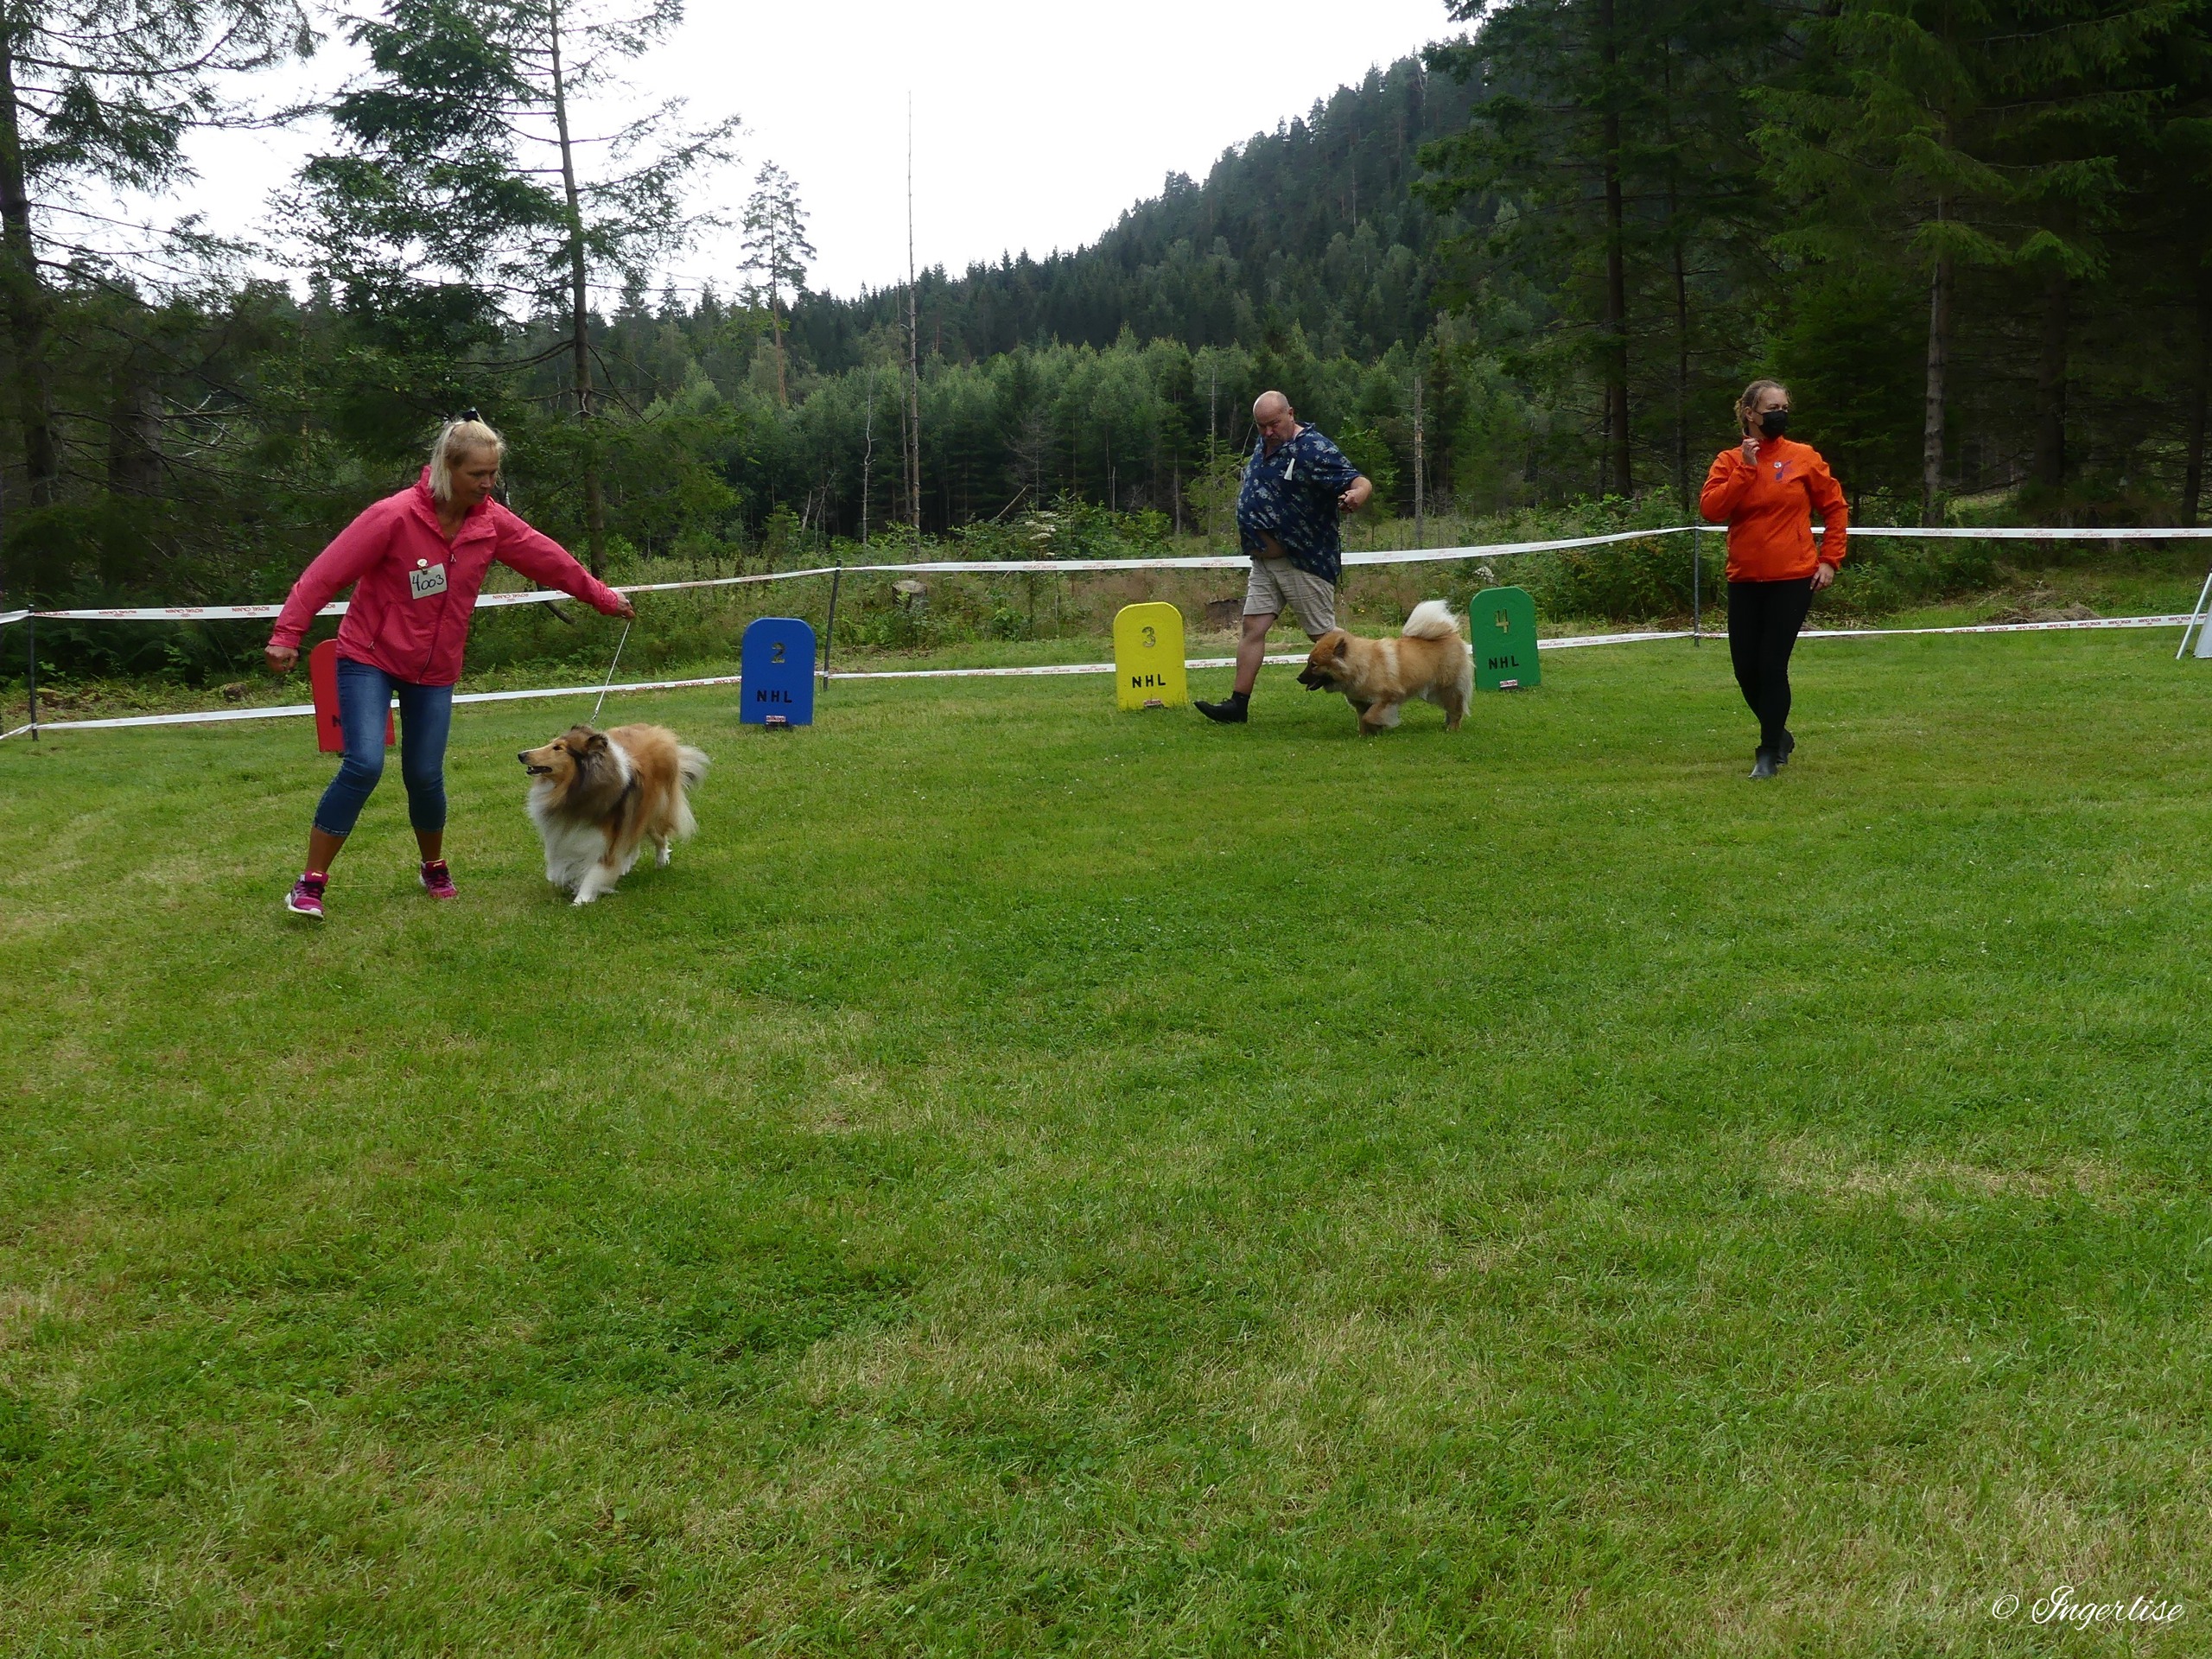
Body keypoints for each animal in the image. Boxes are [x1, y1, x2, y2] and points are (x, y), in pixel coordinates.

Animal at [517, 723, 709, 904]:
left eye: (558, 748)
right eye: (552, 743)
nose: (521, 755)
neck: (575, 790)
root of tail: (660, 732)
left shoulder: (605, 841)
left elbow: (595, 872)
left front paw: (581, 900)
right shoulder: (567, 836)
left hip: (653, 813)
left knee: (660, 838)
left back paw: (661, 861)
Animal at [1295, 599, 1473, 734]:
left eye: (1314, 665)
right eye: (1308, 662)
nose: (1298, 678)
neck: (1362, 666)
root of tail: (1451, 634)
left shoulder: (1387, 698)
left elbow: (1370, 717)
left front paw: (1380, 726)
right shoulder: (1361, 704)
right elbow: (1363, 720)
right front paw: (1366, 736)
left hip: (1447, 688)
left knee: (1456, 709)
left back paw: (1452, 728)